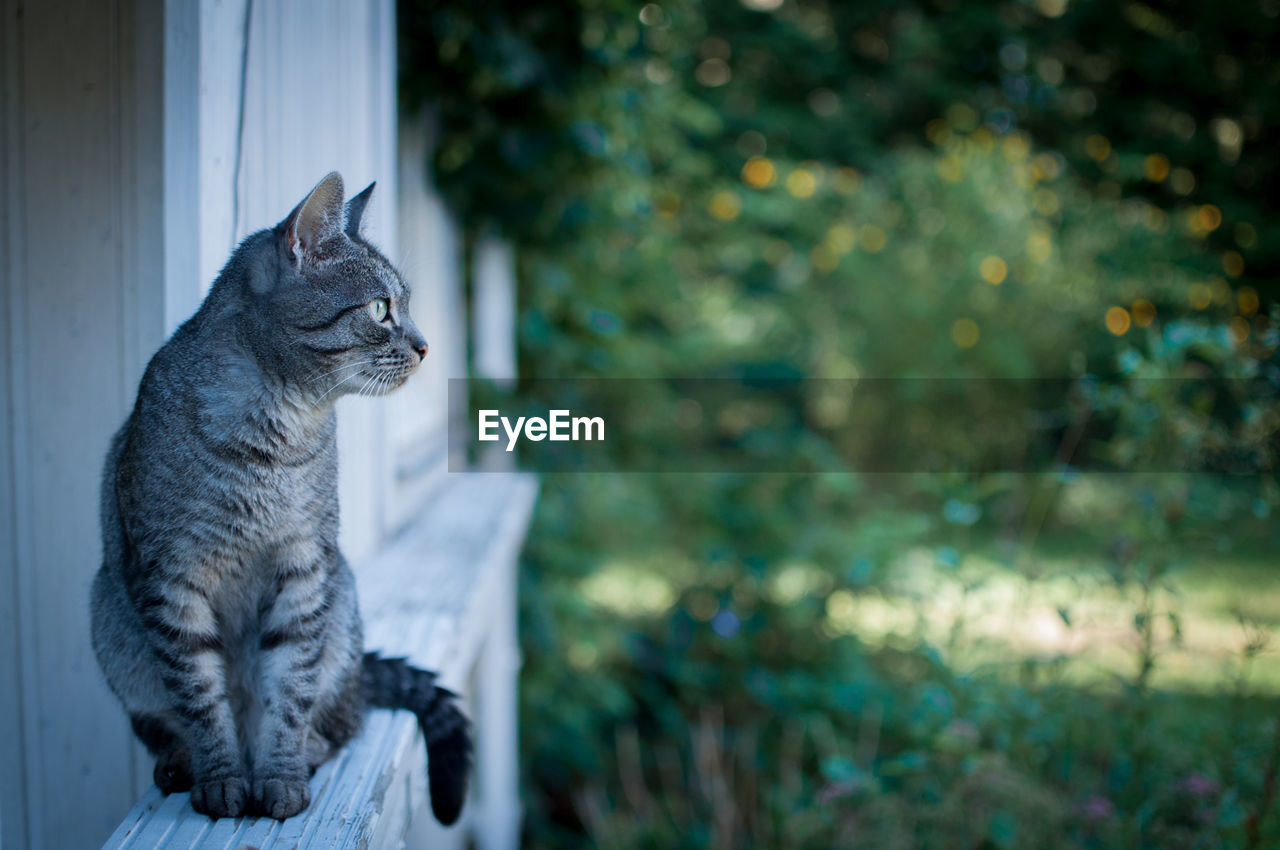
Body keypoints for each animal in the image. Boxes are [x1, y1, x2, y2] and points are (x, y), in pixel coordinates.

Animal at [91, 171, 471, 824]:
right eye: (381, 308)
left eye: (408, 305)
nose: (425, 346)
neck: (277, 433)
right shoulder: (171, 578)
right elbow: (201, 697)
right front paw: (221, 779)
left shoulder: (306, 566)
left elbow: (290, 691)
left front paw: (282, 777)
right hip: (111, 623)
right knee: (164, 723)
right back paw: (181, 763)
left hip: (342, 613)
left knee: (345, 718)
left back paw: (309, 749)